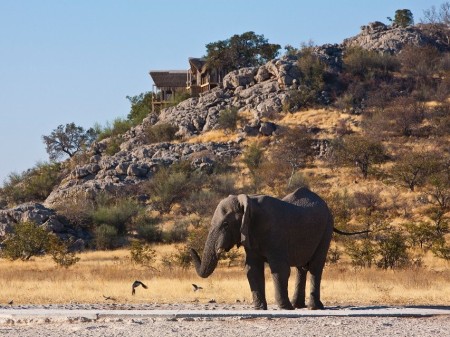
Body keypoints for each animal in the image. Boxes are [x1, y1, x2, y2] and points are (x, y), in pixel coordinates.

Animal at [189, 186, 366, 310]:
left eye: (226, 224)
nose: (191, 248)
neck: (248, 202)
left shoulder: (275, 232)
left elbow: (279, 268)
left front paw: (284, 308)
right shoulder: (250, 235)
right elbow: (252, 268)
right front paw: (259, 309)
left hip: (327, 228)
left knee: (316, 266)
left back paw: (313, 307)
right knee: (301, 268)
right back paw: (298, 306)